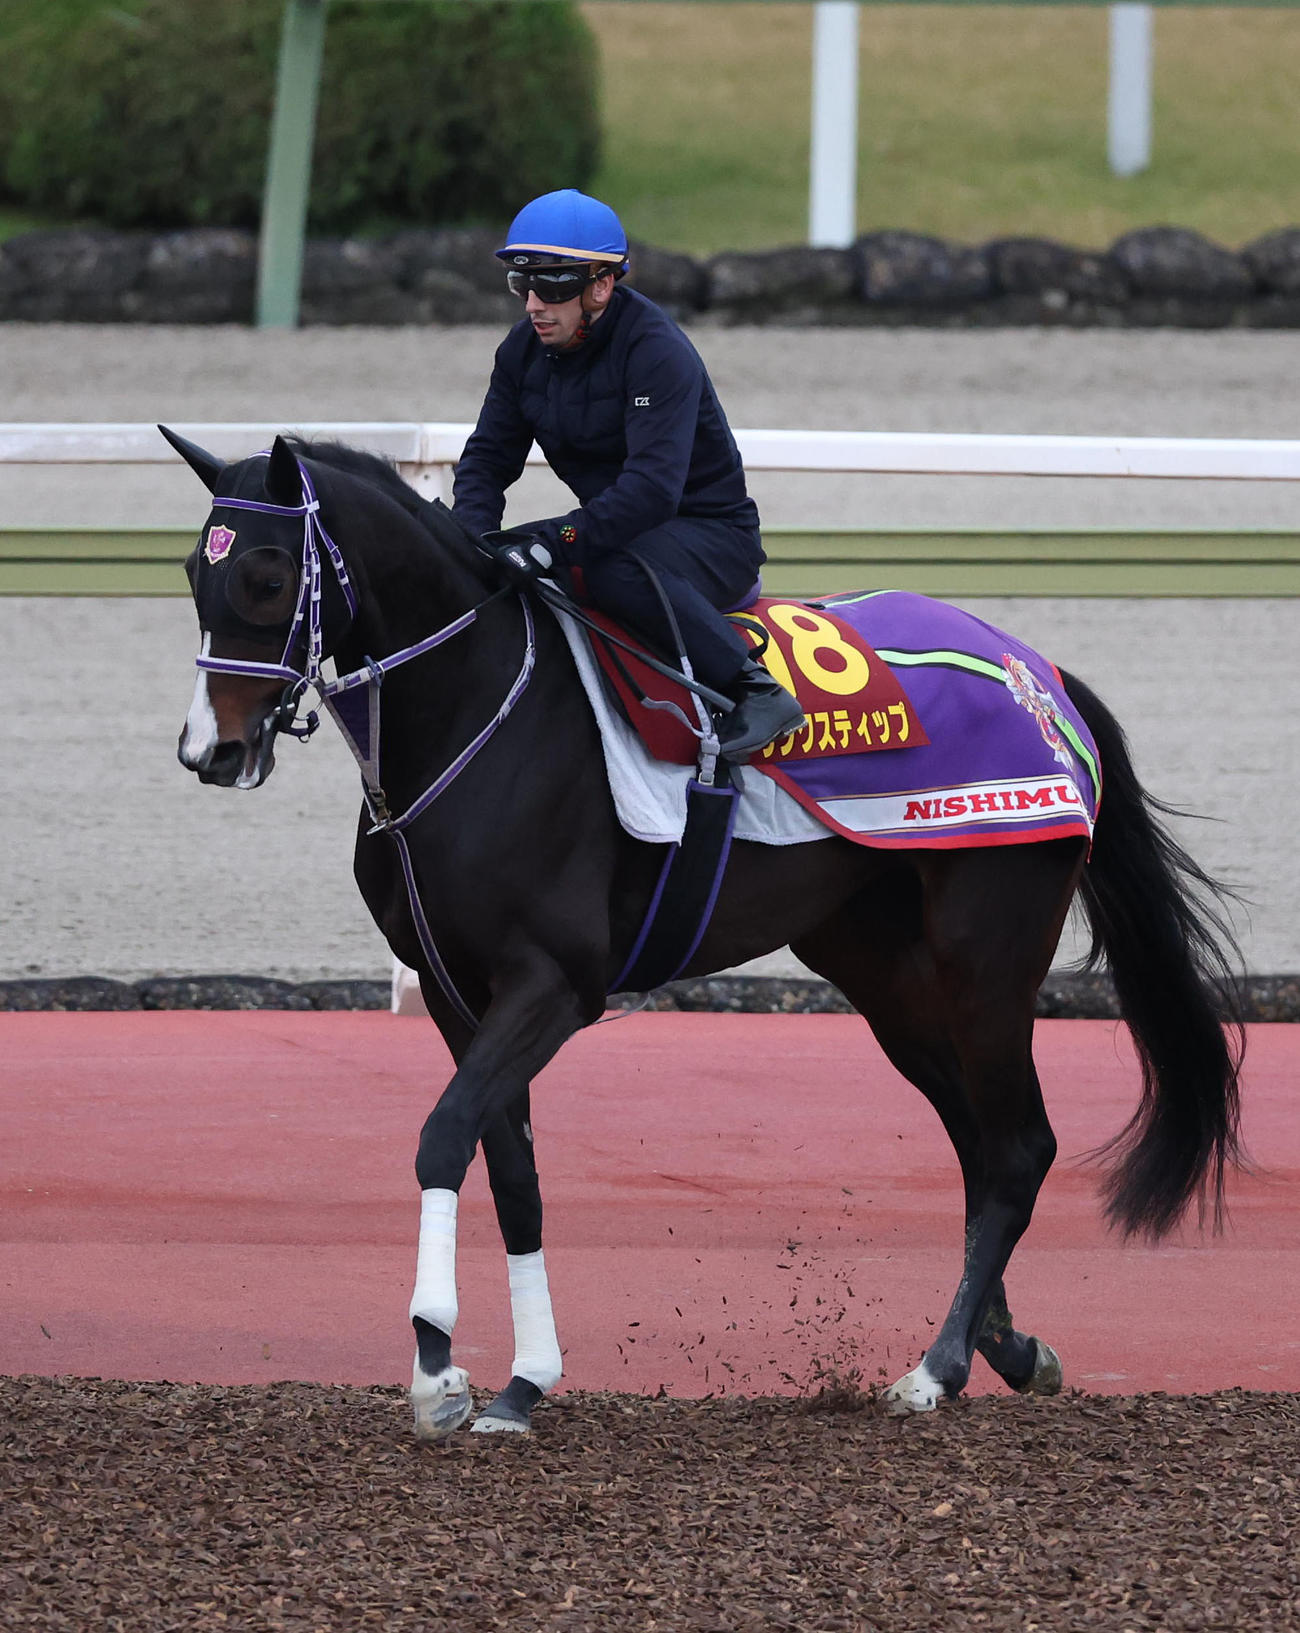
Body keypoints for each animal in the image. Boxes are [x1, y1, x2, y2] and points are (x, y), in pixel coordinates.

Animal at [167, 426, 1245, 1440]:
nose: (209, 749)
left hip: (988, 955)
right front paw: (523, 1380)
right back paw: (1008, 1348)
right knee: (983, 1146)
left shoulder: (553, 983)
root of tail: (1040, 677)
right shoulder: (454, 991)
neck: (479, 710)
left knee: (1018, 1147)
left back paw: (935, 1370)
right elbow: (511, 1172)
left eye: (267, 575)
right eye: (191, 571)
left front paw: (437, 1366)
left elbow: (442, 1138)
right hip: (884, 973)